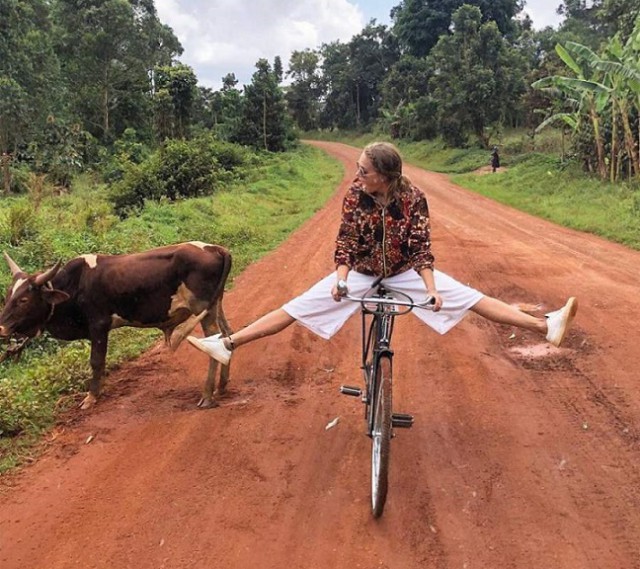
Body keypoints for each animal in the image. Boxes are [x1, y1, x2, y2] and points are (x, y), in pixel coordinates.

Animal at [0, 240, 234, 408]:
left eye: (23, 300)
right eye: (8, 295)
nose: (1, 328)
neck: (75, 285)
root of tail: (216, 249)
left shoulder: (99, 326)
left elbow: (96, 361)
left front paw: (92, 396)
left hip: (202, 309)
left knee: (214, 341)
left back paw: (207, 395)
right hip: (216, 305)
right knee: (227, 335)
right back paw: (221, 386)